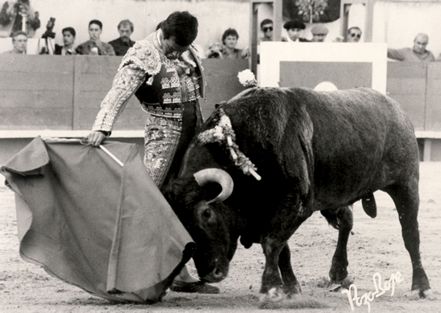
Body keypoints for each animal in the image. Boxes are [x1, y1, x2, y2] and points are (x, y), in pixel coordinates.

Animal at [164, 86, 430, 298]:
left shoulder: (295, 203)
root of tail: (396, 109)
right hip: (338, 194)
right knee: (347, 222)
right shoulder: (270, 212)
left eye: (206, 214)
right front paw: (290, 287)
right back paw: (338, 273)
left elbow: (272, 243)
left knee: (410, 234)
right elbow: (283, 250)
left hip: (406, 184)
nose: (210, 273)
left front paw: (271, 287)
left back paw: (420, 285)